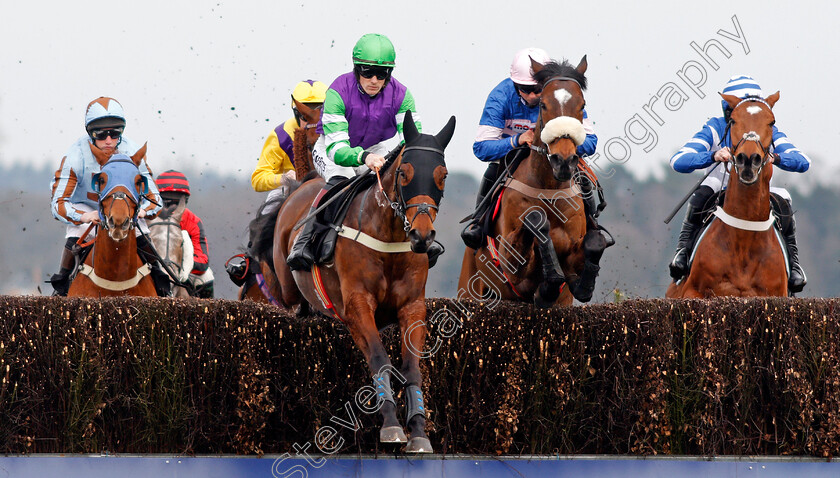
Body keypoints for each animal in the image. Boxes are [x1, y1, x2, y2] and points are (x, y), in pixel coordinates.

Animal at [270, 112, 456, 452]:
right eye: (405, 173)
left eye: (443, 175)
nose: (422, 236)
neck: (389, 237)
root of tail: (305, 183)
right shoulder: (358, 305)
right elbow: (380, 359)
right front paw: (392, 426)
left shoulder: (413, 307)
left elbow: (412, 367)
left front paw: (419, 432)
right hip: (288, 286)